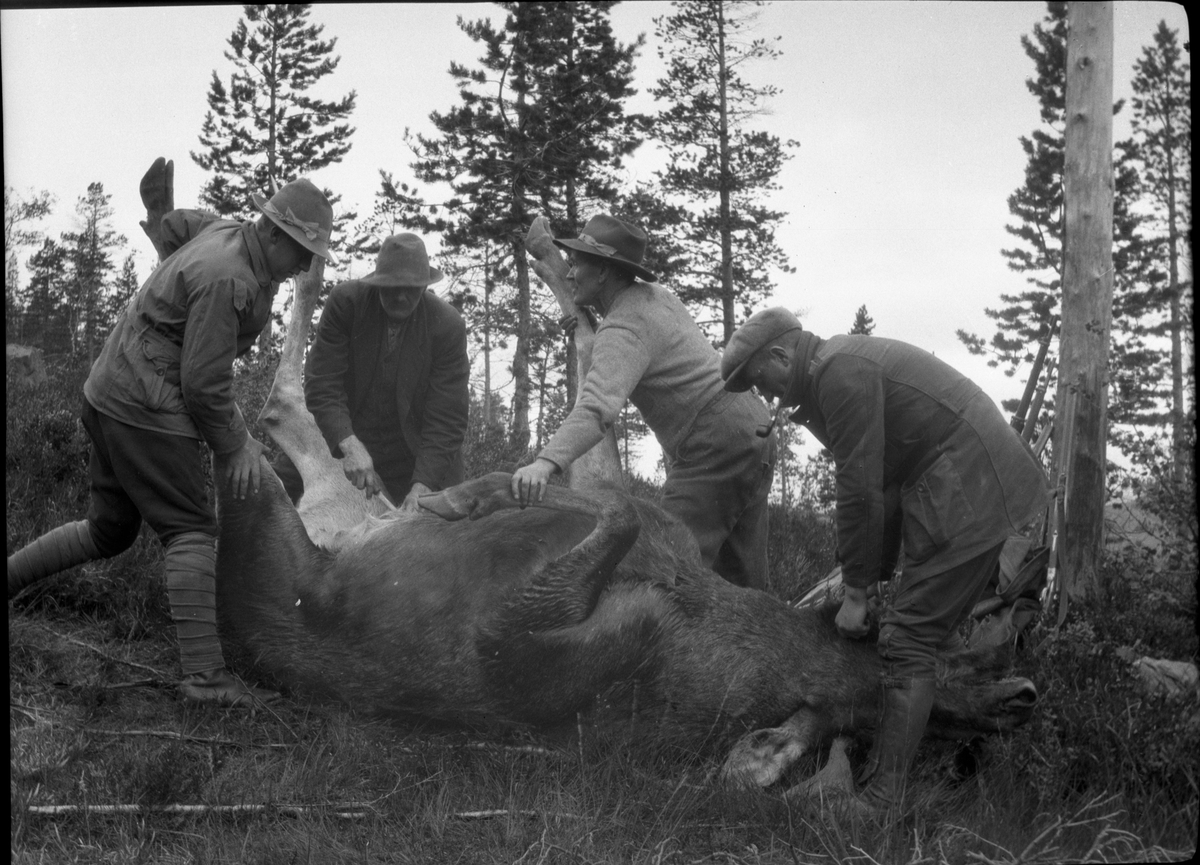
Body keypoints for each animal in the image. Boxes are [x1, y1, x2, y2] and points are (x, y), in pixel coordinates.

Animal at [136, 161, 1036, 791]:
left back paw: (300, 259)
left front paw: (476, 492)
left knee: (276, 408)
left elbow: (600, 495)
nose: (1017, 689)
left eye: (896, 705)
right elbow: (595, 428)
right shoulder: (613, 516)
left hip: (273, 520)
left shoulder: (516, 649)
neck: (714, 613)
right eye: (888, 638)